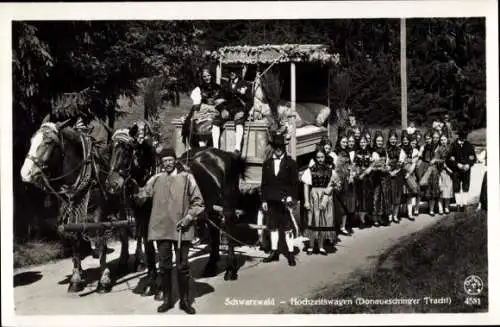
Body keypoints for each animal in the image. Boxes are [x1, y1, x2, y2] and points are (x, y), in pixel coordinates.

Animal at [20, 121, 132, 294]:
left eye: (49, 142)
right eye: (31, 141)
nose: (25, 173)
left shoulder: (98, 214)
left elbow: (100, 242)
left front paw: (104, 280)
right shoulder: (71, 211)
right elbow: (75, 241)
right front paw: (76, 279)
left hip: (122, 204)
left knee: (125, 230)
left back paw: (125, 261)